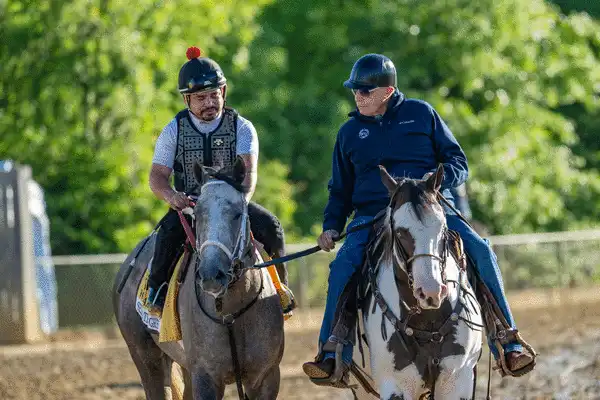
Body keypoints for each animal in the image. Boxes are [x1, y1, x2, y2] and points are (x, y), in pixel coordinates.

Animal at [113, 158, 286, 398]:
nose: (212, 274)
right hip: (147, 358)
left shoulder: (265, 377)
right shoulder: (205, 377)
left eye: (237, 213)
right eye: (198, 214)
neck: (230, 312)